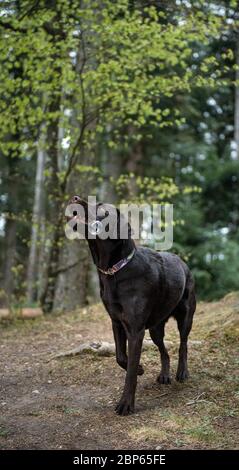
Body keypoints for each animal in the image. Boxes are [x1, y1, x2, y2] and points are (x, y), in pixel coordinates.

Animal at [67, 196, 196, 416]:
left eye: (101, 208)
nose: (75, 198)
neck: (115, 270)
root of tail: (182, 262)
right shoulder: (117, 323)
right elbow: (120, 357)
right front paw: (141, 368)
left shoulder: (136, 330)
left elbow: (131, 373)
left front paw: (126, 403)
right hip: (155, 328)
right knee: (164, 351)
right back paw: (165, 375)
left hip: (185, 317)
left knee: (183, 345)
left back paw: (182, 372)